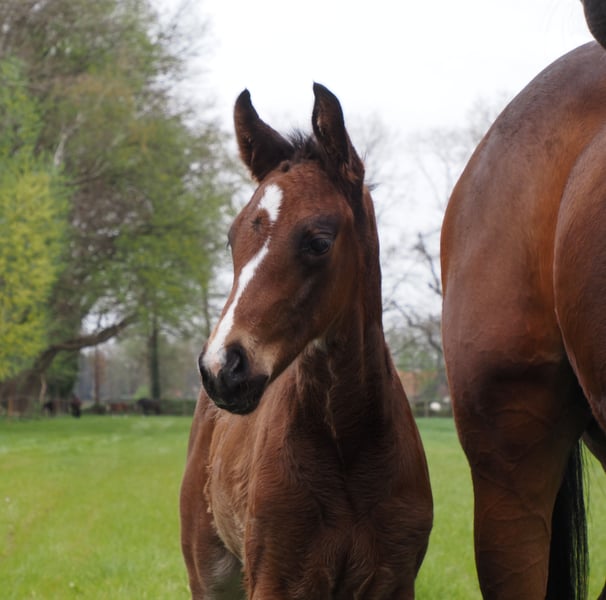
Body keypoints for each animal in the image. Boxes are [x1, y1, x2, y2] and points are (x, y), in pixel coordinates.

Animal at [180, 83, 433, 599]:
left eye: (318, 241)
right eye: (232, 238)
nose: (222, 368)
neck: (347, 445)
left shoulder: (394, 580)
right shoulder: (276, 579)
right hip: (209, 574)